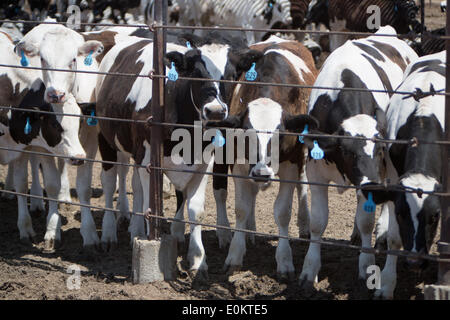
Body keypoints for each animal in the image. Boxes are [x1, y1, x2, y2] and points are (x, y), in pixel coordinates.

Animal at [96, 33, 260, 276]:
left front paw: (198, 259)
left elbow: (195, 210)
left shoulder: (203, 163)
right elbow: (149, 204)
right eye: (196, 74)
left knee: (135, 185)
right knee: (109, 182)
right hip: (106, 139)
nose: (215, 111)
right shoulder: (148, 159)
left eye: (231, 76)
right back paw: (108, 235)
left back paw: (136, 229)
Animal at [206, 35, 318, 278]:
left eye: (280, 134)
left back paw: (305, 223)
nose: (262, 173)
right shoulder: (240, 163)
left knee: (302, 184)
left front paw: (284, 261)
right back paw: (250, 230)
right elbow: (241, 207)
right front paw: (235, 255)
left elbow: (283, 212)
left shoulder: (291, 162)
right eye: (247, 132)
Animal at [298, 26, 418, 292]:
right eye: (347, 152)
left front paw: (366, 265)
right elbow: (317, 222)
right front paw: (309, 269)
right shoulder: (315, 173)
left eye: (381, 149)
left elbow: (366, 221)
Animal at [360, 50, 444, 300]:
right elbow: (395, 238)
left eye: (434, 216)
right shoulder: (394, 178)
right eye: (401, 214)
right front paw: (387, 285)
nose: (415, 262)